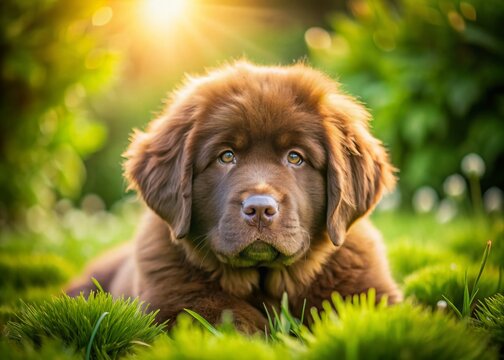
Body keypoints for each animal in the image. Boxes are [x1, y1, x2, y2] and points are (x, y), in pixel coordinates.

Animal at [69, 61, 404, 332]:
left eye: (295, 157)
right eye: (226, 156)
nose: (260, 209)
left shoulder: (368, 293)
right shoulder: (176, 303)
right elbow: (226, 318)